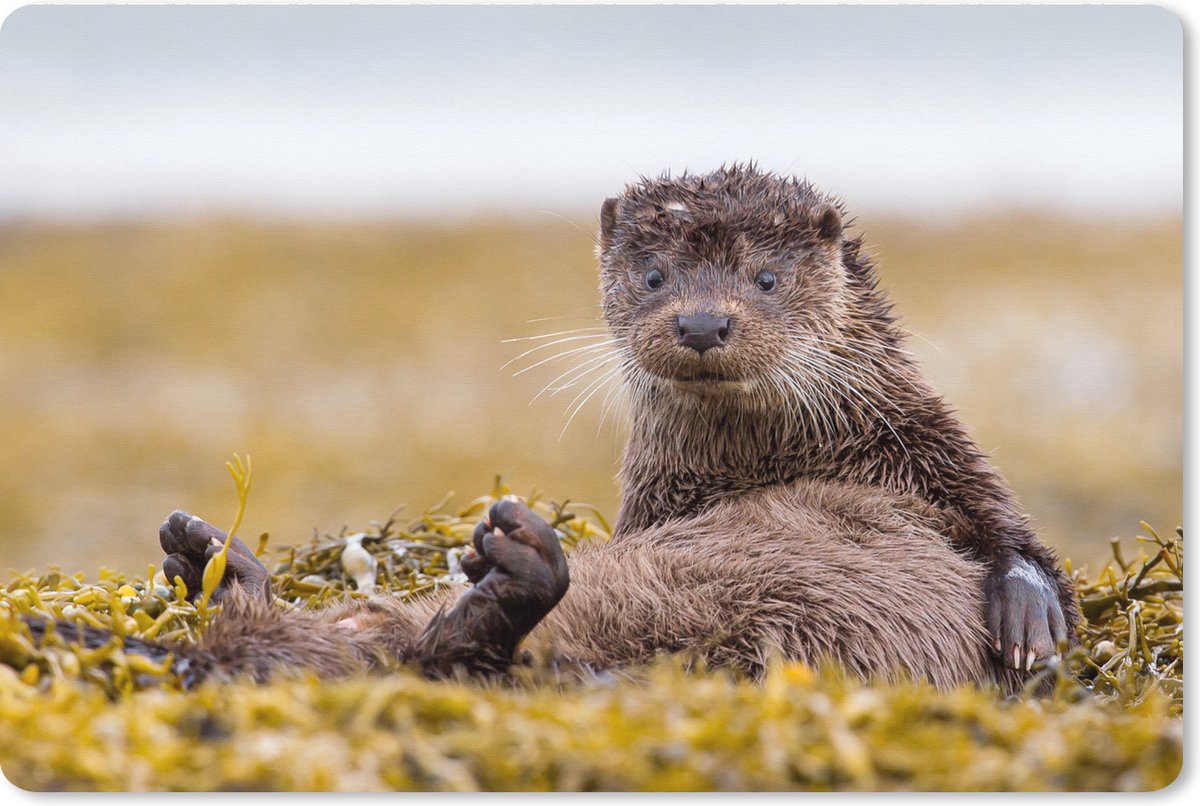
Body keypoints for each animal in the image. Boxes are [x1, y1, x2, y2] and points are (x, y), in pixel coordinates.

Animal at [31, 166, 1079, 691]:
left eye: (767, 277)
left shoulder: (931, 448)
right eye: (653, 275)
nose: (704, 322)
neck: (788, 455)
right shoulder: (653, 508)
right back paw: (216, 557)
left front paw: (1026, 620)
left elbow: (1016, 537)